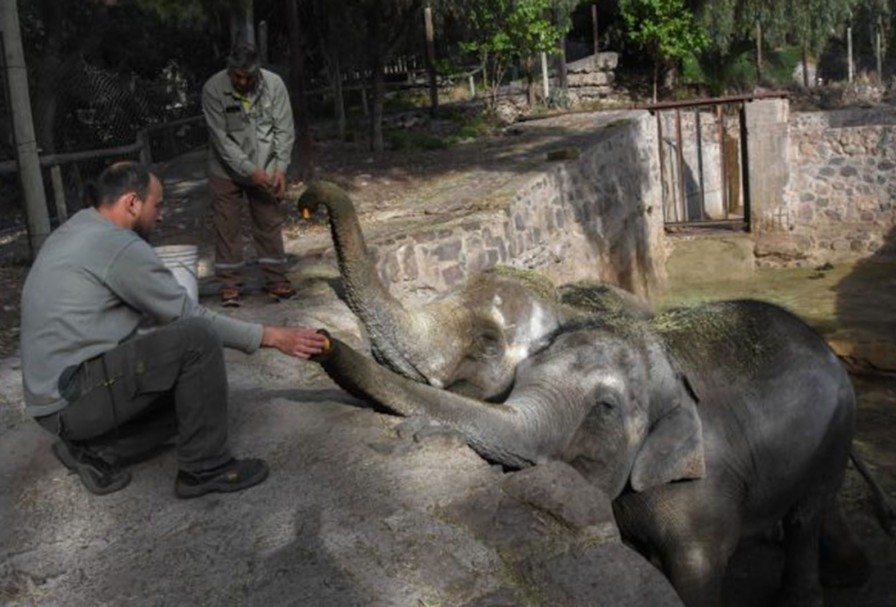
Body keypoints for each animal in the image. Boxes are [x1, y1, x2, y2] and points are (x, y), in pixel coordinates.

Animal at [310, 298, 869, 607]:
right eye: (519, 377)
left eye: (604, 407)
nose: (321, 338)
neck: (661, 353)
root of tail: (825, 346)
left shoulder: (706, 486)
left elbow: (698, 565)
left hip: (836, 431)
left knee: (807, 515)